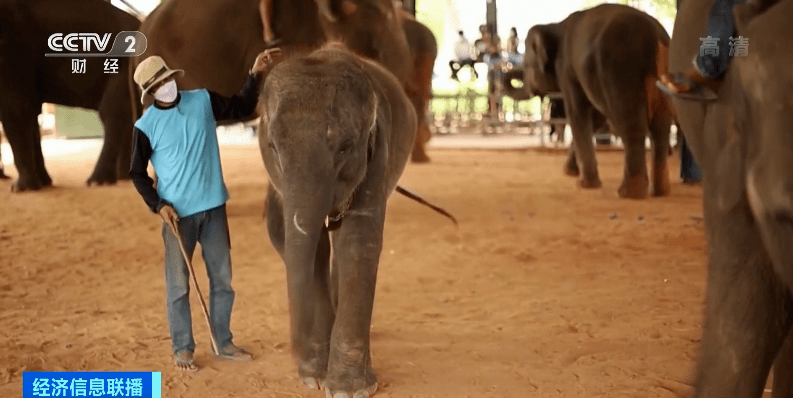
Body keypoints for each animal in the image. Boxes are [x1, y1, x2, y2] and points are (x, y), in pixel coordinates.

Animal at [0, 0, 141, 191]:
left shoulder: (12, 43)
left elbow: (17, 108)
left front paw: (22, 189)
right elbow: (30, 112)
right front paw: (44, 183)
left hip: (123, 66)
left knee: (112, 113)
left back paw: (98, 181)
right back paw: (123, 177)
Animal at [256, 41, 418, 398]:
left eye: (345, 148)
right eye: (272, 146)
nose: (297, 353)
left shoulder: (379, 150)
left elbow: (358, 241)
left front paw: (349, 389)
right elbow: (301, 243)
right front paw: (314, 376)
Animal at [502, 5, 676, 198]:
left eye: (526, 66)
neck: (555, 25)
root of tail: (657, 37)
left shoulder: (567, 69)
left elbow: (577, 113)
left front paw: (584, 184)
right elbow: (596, 119)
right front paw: (570, 172)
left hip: (621, 72)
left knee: (632, 125)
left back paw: (628, 193)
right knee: (660, 128)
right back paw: (660, 192)